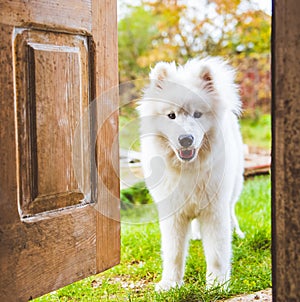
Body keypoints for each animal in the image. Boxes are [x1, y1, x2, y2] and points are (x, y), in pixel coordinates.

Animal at [138, 56, 244, 290]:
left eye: (197, 114)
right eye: (171, 116)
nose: (185, 139)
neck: (188, 169)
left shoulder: (215, 211)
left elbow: (217, 253)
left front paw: (217, 284)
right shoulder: (173, 214)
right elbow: (174, 253)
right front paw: (170, 284)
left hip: (234, 189)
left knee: (232, 211)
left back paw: (238, 232)